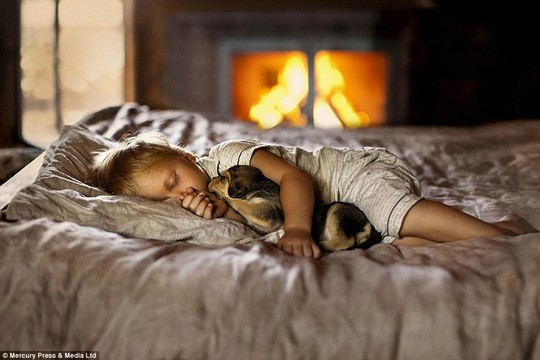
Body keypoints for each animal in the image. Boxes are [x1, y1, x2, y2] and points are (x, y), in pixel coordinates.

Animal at [207, 165, 380, 252]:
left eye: (222, 178)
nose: (210, 180)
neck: (257, 185)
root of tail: (370, 227)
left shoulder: (267, 212)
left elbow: (237, 201)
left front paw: (222, 196)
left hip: (336, 211)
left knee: (347, 241)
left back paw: (320, 245)